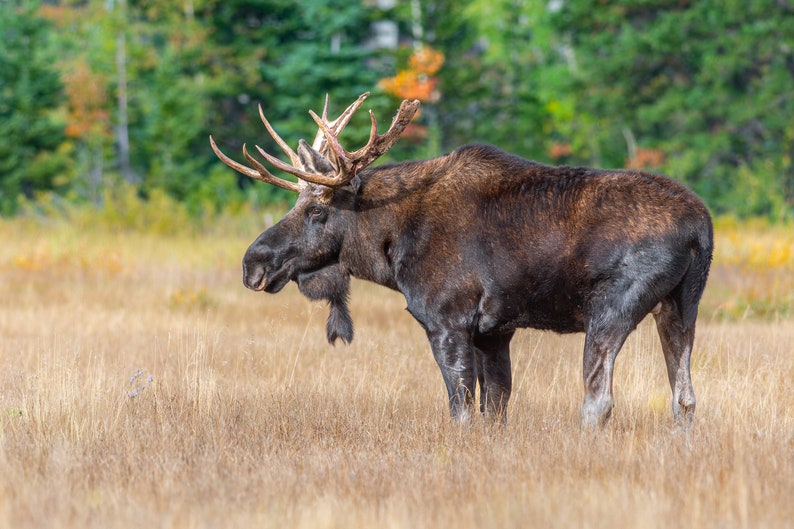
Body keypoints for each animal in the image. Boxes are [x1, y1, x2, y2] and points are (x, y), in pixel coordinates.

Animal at [210, 93, 713, 429]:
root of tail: (701, 229)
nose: (253, 264)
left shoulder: (447, 320)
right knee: (685, 398)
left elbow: (462, 411)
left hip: (611, 308)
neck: (391, 248)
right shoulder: (495, 331)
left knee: (599, 400)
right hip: (680, 306)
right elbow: (495, 411)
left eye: (317, 211)